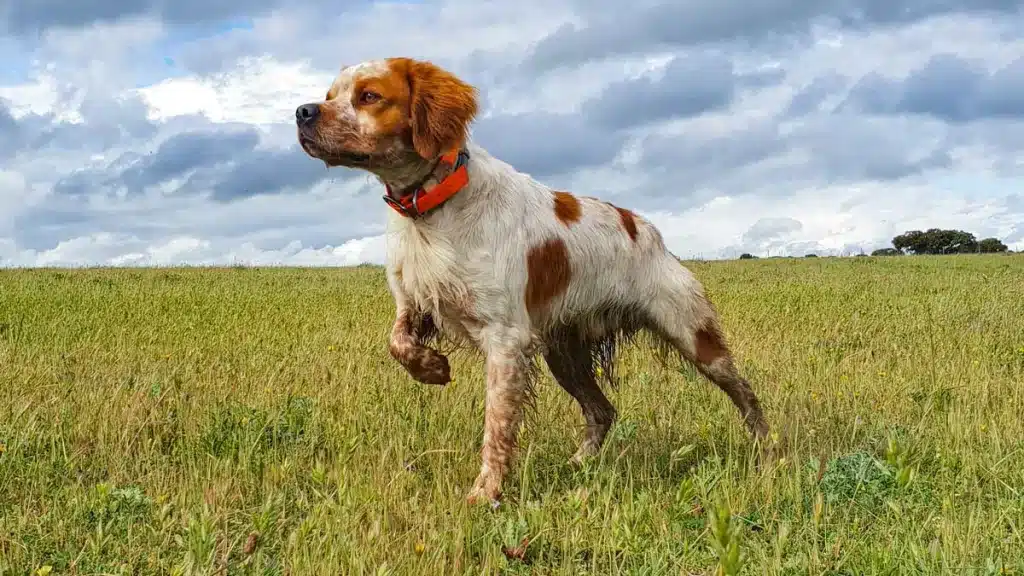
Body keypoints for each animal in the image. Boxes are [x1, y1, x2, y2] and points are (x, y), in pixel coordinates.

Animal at [296, 57, 770, 502]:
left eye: (369, 96)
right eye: (330, 94)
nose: (302, 111)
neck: (434, 207)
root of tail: (645, 228)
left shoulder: (505, 339)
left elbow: (497, 425)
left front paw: (485, 493)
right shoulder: (416, 303)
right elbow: (397, 343)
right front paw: (432, 368)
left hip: (693, 333)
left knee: (745, 392)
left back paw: (769, 451)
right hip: (563, 354)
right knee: (603, 410)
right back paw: (578, 463)